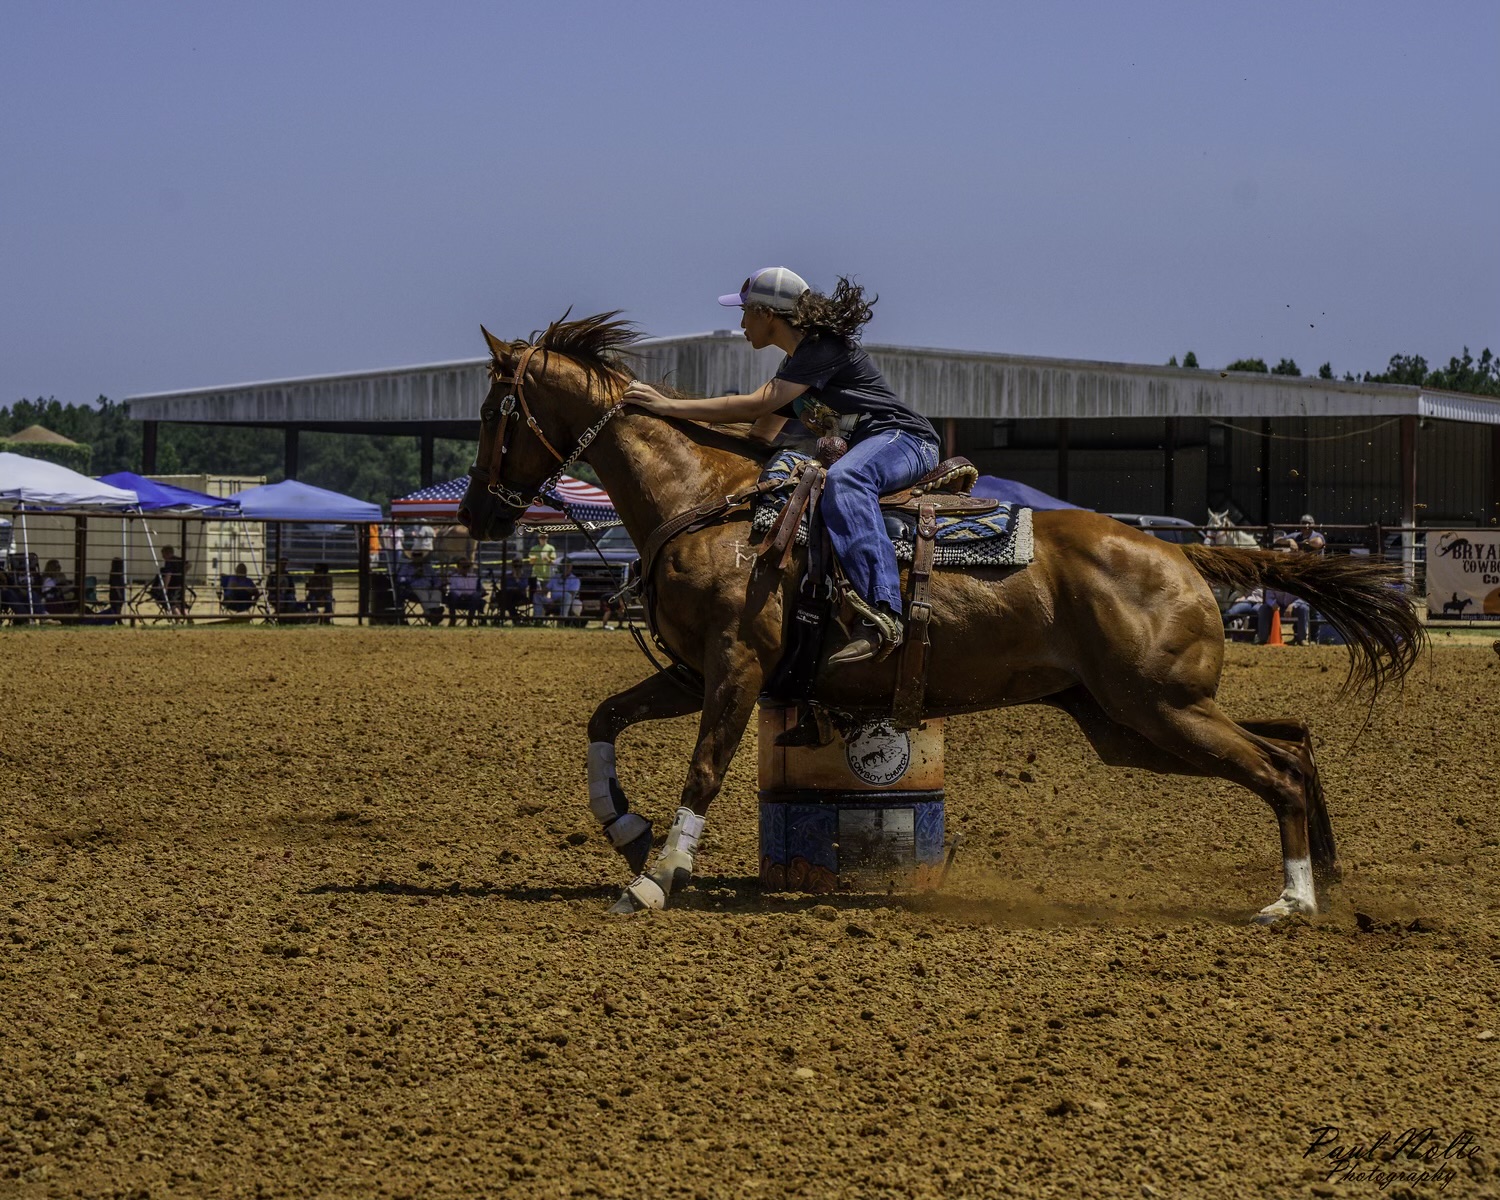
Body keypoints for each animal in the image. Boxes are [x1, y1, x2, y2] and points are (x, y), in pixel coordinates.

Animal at [462, 316, 1422, 918]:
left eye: (495, 412)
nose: (475, 515)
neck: (708, 503)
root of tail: (1182, 555)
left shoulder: (735, 666)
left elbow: (703, 769)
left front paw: (658, 878)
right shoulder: (694, 669)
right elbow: (604, 719)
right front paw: (625, 829)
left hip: (1161, 709)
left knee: (1278, 770)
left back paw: (1292, 899)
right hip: (1131, 720)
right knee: (1292, 740)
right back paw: (1325, 880)